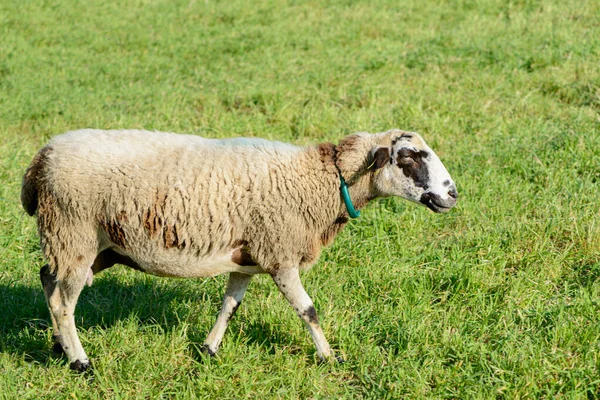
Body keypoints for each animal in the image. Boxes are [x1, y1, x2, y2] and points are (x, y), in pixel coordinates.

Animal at [21, 128, 458, 372]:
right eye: (408, 157)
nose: (452, 194)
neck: (321, 180)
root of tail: (40, 160)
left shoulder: (246, 260)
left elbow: (229, 307)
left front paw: (208, 351)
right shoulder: (280, 254)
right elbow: (308, 310)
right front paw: (330, 357)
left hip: (93, 245)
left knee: (48, 279)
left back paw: (59, 346)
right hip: (73, 231)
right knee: (63, 301)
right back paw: (80, 362)